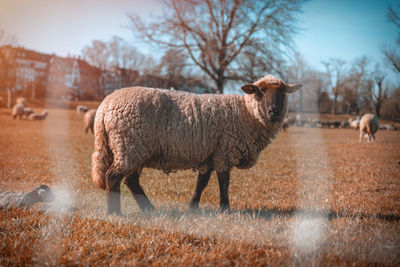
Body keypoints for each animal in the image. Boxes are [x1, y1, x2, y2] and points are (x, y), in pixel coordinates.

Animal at [90, 75, 302, 216]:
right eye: (261, 91)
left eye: (282, 92)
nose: (274, 111)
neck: (246, 114)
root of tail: (104, 108)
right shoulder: (224, 151)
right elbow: (224, 182)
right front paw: (225, 209)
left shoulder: (210, 154)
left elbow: (202, 182)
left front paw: (193, 206)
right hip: (128, 146)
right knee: (113, 177)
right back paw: (115, 213)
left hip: (132, 148)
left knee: (130, 181)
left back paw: (149, 210)